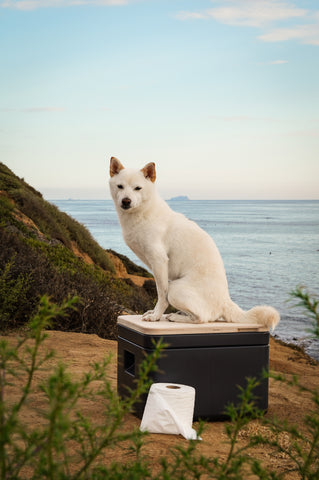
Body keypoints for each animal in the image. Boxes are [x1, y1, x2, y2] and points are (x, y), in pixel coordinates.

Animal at [109, 158, 280, 330]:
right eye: (120, 186)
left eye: (138, 188)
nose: (126, 201)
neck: (143, 213)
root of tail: (225, 301)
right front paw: (154, 313)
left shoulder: (159, 262)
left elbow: (161, 295)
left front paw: (156, 316)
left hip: (176, 289)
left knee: (202, 318)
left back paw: (176, 317)